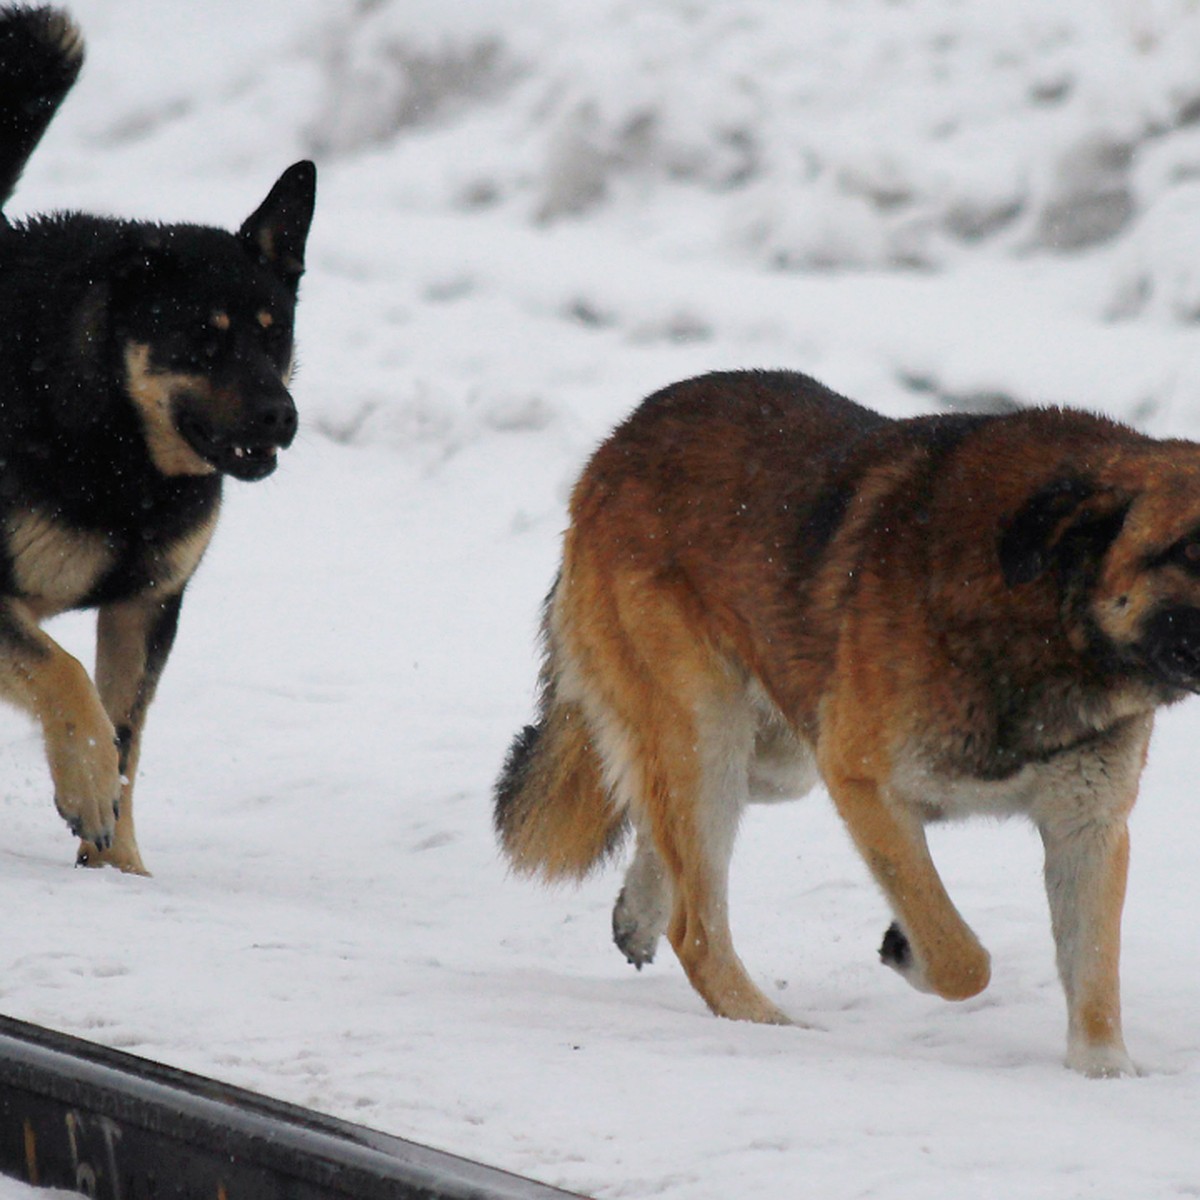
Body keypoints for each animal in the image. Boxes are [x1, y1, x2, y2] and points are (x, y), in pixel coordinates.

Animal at [0, 7, 316, 873]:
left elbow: (126, 737)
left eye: (274, 334)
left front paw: (119, 867)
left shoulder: (146, 606)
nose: (281, 415)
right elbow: (64, 674)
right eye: (203, 339)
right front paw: (83, 787)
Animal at [492, 367, 1200, 1080]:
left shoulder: (1089, 826)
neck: (1044, 614)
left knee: (658, 823)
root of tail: (619, 441)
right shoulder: (862, 783)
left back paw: (640, 911)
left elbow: (1095, 977)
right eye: (1189, 550)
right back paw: (769, 1025)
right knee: (695, 927)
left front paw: (1104, 1075)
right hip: (710, 736)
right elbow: (960, 957)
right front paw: (907, 949)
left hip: (774, 756)